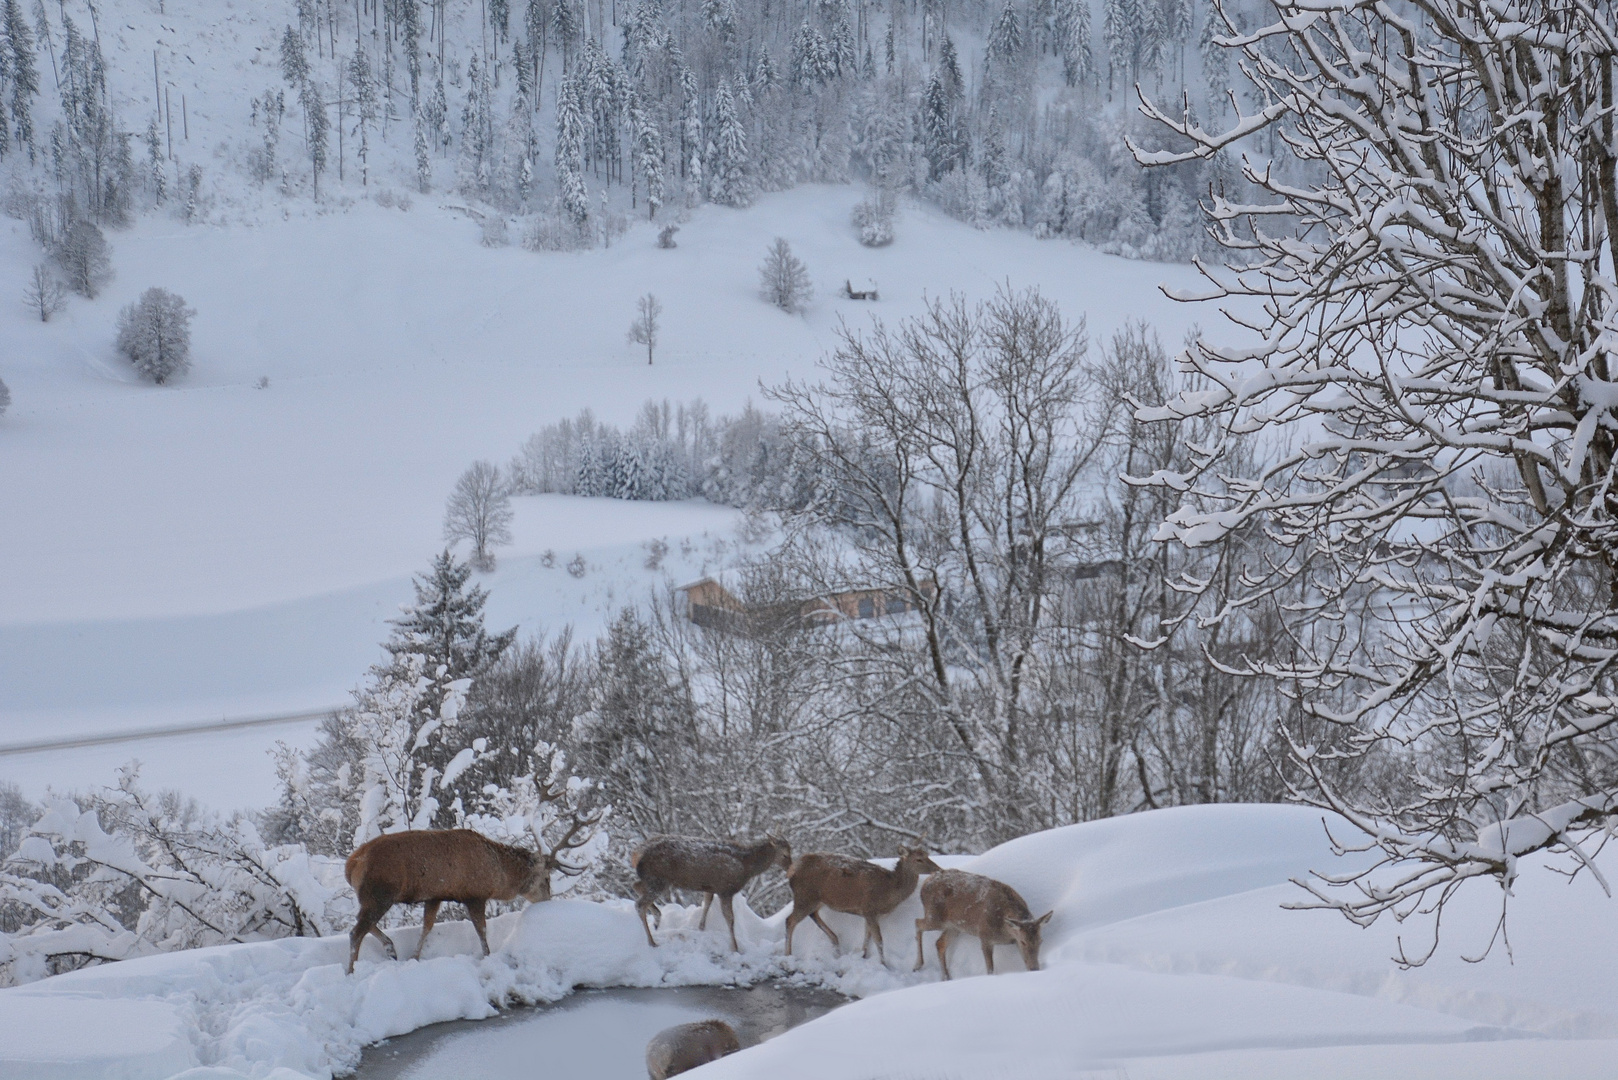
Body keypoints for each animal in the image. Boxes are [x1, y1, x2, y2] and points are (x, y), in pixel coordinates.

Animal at [631, 841, 789, 952]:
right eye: (785, 854)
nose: (790, 866)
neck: (747, 867)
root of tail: (636, 856)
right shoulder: (726, 889)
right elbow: (730, 919)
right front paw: (735, 947)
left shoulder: (710, 887)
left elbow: (707, 902)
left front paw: (701, 927)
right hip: (658, 879)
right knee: (639, 904)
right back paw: (652, 941)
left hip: (653, 880)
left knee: (636, 886)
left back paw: (657, 919)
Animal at [779, 841, 944, 965]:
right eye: (918, 859)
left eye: (927, 855)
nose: (938, 869)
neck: (889, 891)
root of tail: (792, 869)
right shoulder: (869, 908)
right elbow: (879, 939)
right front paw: (884, 964)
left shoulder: (870, 913)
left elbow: (867, 936)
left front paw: (863, 956)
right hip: (804, 896)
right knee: (790, 920)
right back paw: (788, 954)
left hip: (817, 899)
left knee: (813, 915)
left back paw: (835, 943)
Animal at [919, 867, 1054, 977]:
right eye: (1023, 942)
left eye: (1040, 941)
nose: (1034, 968)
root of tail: (924, 884)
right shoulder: (984, 936)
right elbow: (990, 969)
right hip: (934, 916)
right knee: (918, 923)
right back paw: (918, 964)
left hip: (955, 927)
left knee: (940, 943)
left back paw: (946, 977)